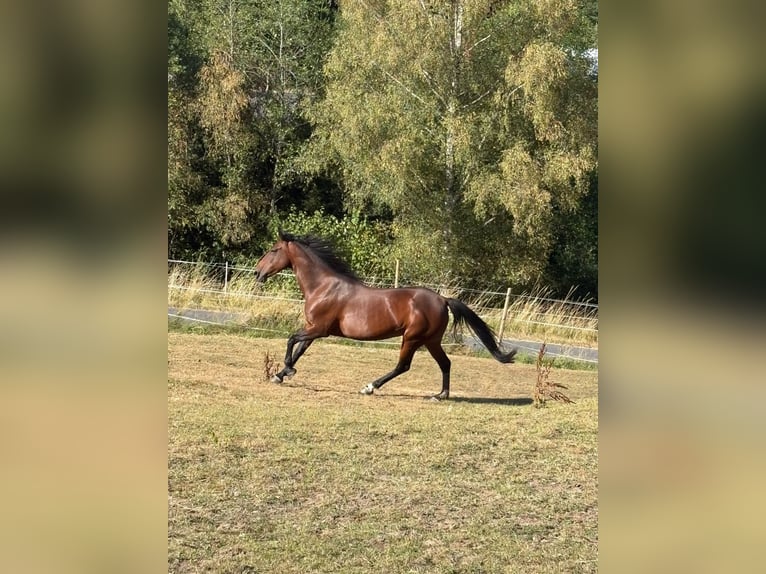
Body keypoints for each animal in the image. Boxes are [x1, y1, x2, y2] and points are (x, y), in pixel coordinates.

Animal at [254, 231, 517, 400]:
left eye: (274, 250)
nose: (257, 273)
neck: (322, 286)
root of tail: (442, 299)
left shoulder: (320, 329)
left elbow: (291, 340)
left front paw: (286, 371)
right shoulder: (313, 329)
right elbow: (300, 349)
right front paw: (280, 374)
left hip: (412, 338)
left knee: (403, 366)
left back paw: (370, 387)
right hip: (431, 340)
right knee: (445, 363)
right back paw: (440, 395)